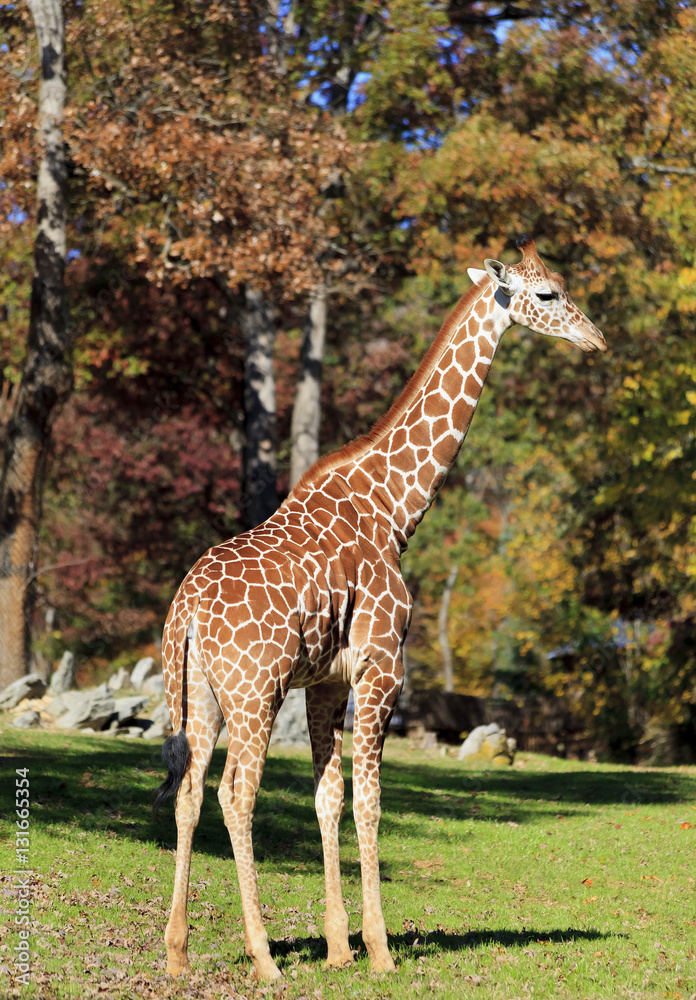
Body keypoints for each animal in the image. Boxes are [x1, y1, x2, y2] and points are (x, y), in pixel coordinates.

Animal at [153, 236, 606, 982]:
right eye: (547, 294)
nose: (594, 338)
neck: (398, 508)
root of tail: (184, 612)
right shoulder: (381, 667)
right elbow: (368, 802)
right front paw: (380, 950)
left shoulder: (327, 681)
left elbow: (328, 798)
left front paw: (339, 946)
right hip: (255, 691)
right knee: (234, 795)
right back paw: (263, 958)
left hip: (199, 695)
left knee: (189, 792)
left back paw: (178, 952)